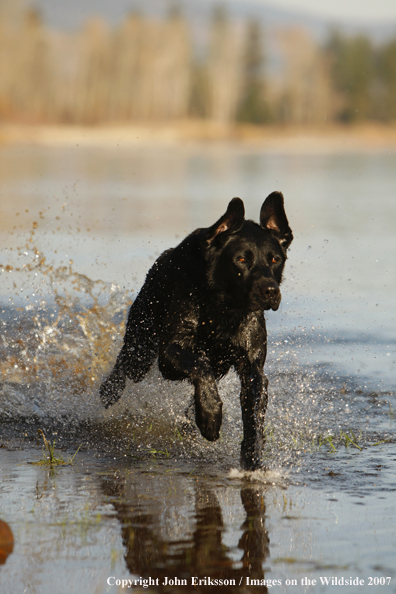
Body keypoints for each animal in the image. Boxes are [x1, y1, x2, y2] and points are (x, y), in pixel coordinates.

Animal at [100, 193, 290, 468]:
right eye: (241, 259)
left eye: (275, 259)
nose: (270, 291)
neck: (222, 310)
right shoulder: (168, 355)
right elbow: (200, 366)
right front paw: (210, 416)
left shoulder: (253, 370)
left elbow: (253, 417)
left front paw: (252, 457)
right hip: (142, 345)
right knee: (126, 364)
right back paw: (110, 390)